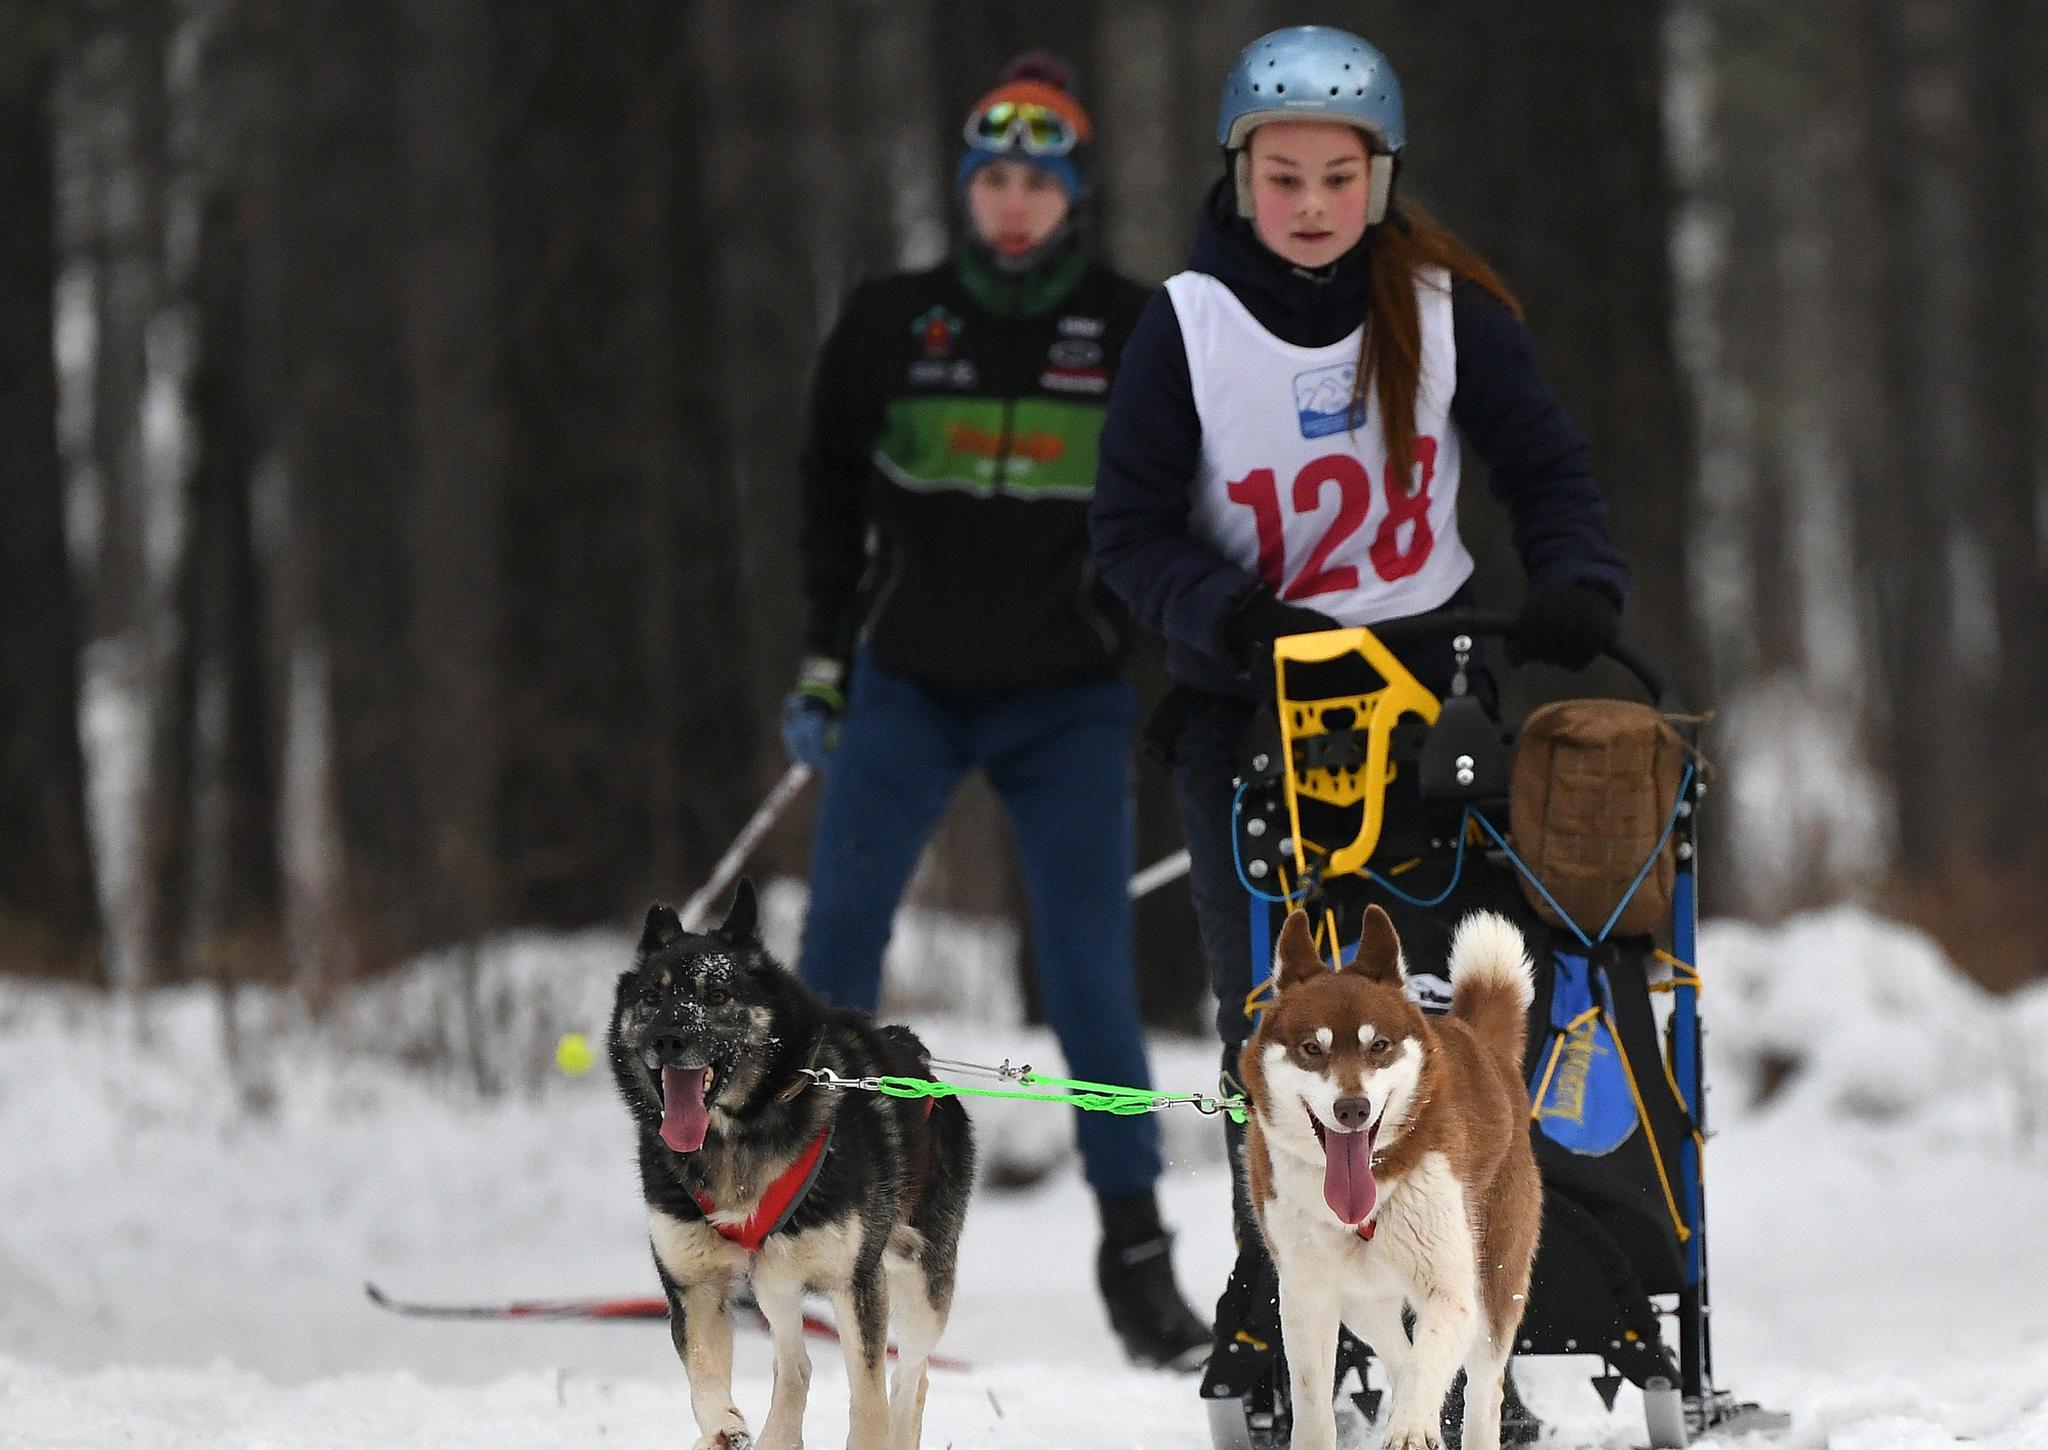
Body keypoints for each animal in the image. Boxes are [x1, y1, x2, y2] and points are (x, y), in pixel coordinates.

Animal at [606, 876, 974, 1449]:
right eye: (651, 996)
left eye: (717, 995)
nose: (668, 1039)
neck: (736, 1139)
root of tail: (917, 1056)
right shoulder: (694, 1286)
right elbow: (704, 1381)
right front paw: (722, 1429)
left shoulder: (855, 1283)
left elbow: (868, 1400)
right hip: (774, 1282)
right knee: (795, 1364)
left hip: (920, 1286)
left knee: (911, 1377)